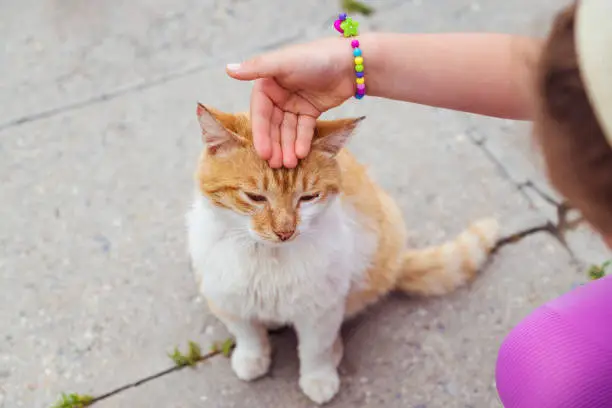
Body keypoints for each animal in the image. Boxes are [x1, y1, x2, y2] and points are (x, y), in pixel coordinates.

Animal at [189, 103, 500, 404]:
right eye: (255, 197)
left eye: (308, 198)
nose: (285, 232)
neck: (269, 258)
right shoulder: (225, 298)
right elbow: (248, 334)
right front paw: (253, 358)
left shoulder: (322, 308)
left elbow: (315, 348)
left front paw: (318, 378)